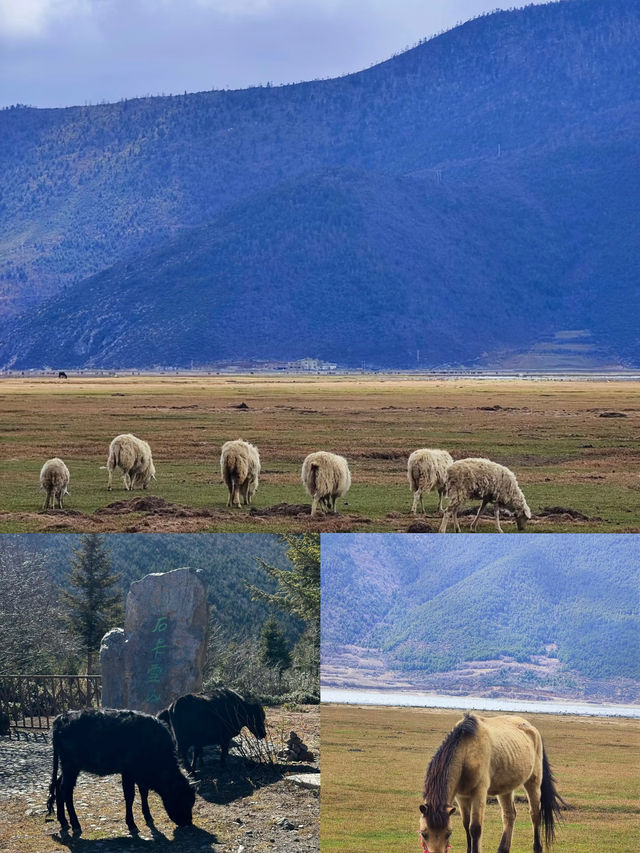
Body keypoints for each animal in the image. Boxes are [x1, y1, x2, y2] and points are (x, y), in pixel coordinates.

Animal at [47, 708, 194, 836]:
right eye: (182, 799)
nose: (188, 823)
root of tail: (61, 719)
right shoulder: (128, 772)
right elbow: (130, 796)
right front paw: (132, 824)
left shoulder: (140, 774)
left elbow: (143, 793)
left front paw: (148, 816)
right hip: (71, 766)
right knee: (66, 789)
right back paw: (75, 824)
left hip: (68, 767)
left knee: (58, 785)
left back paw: (63, 821)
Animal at [420, 712, 564, 852]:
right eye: (423, 833)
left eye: (448, 833)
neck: (466, 752)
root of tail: (533, 729)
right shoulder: (461, 797)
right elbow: (466, 825)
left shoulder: (479, 792)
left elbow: (475, 828)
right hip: (506, 788)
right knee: (509, 815)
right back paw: (502, 849)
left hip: (533, 781)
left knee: (535, 814)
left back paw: (537, 847)